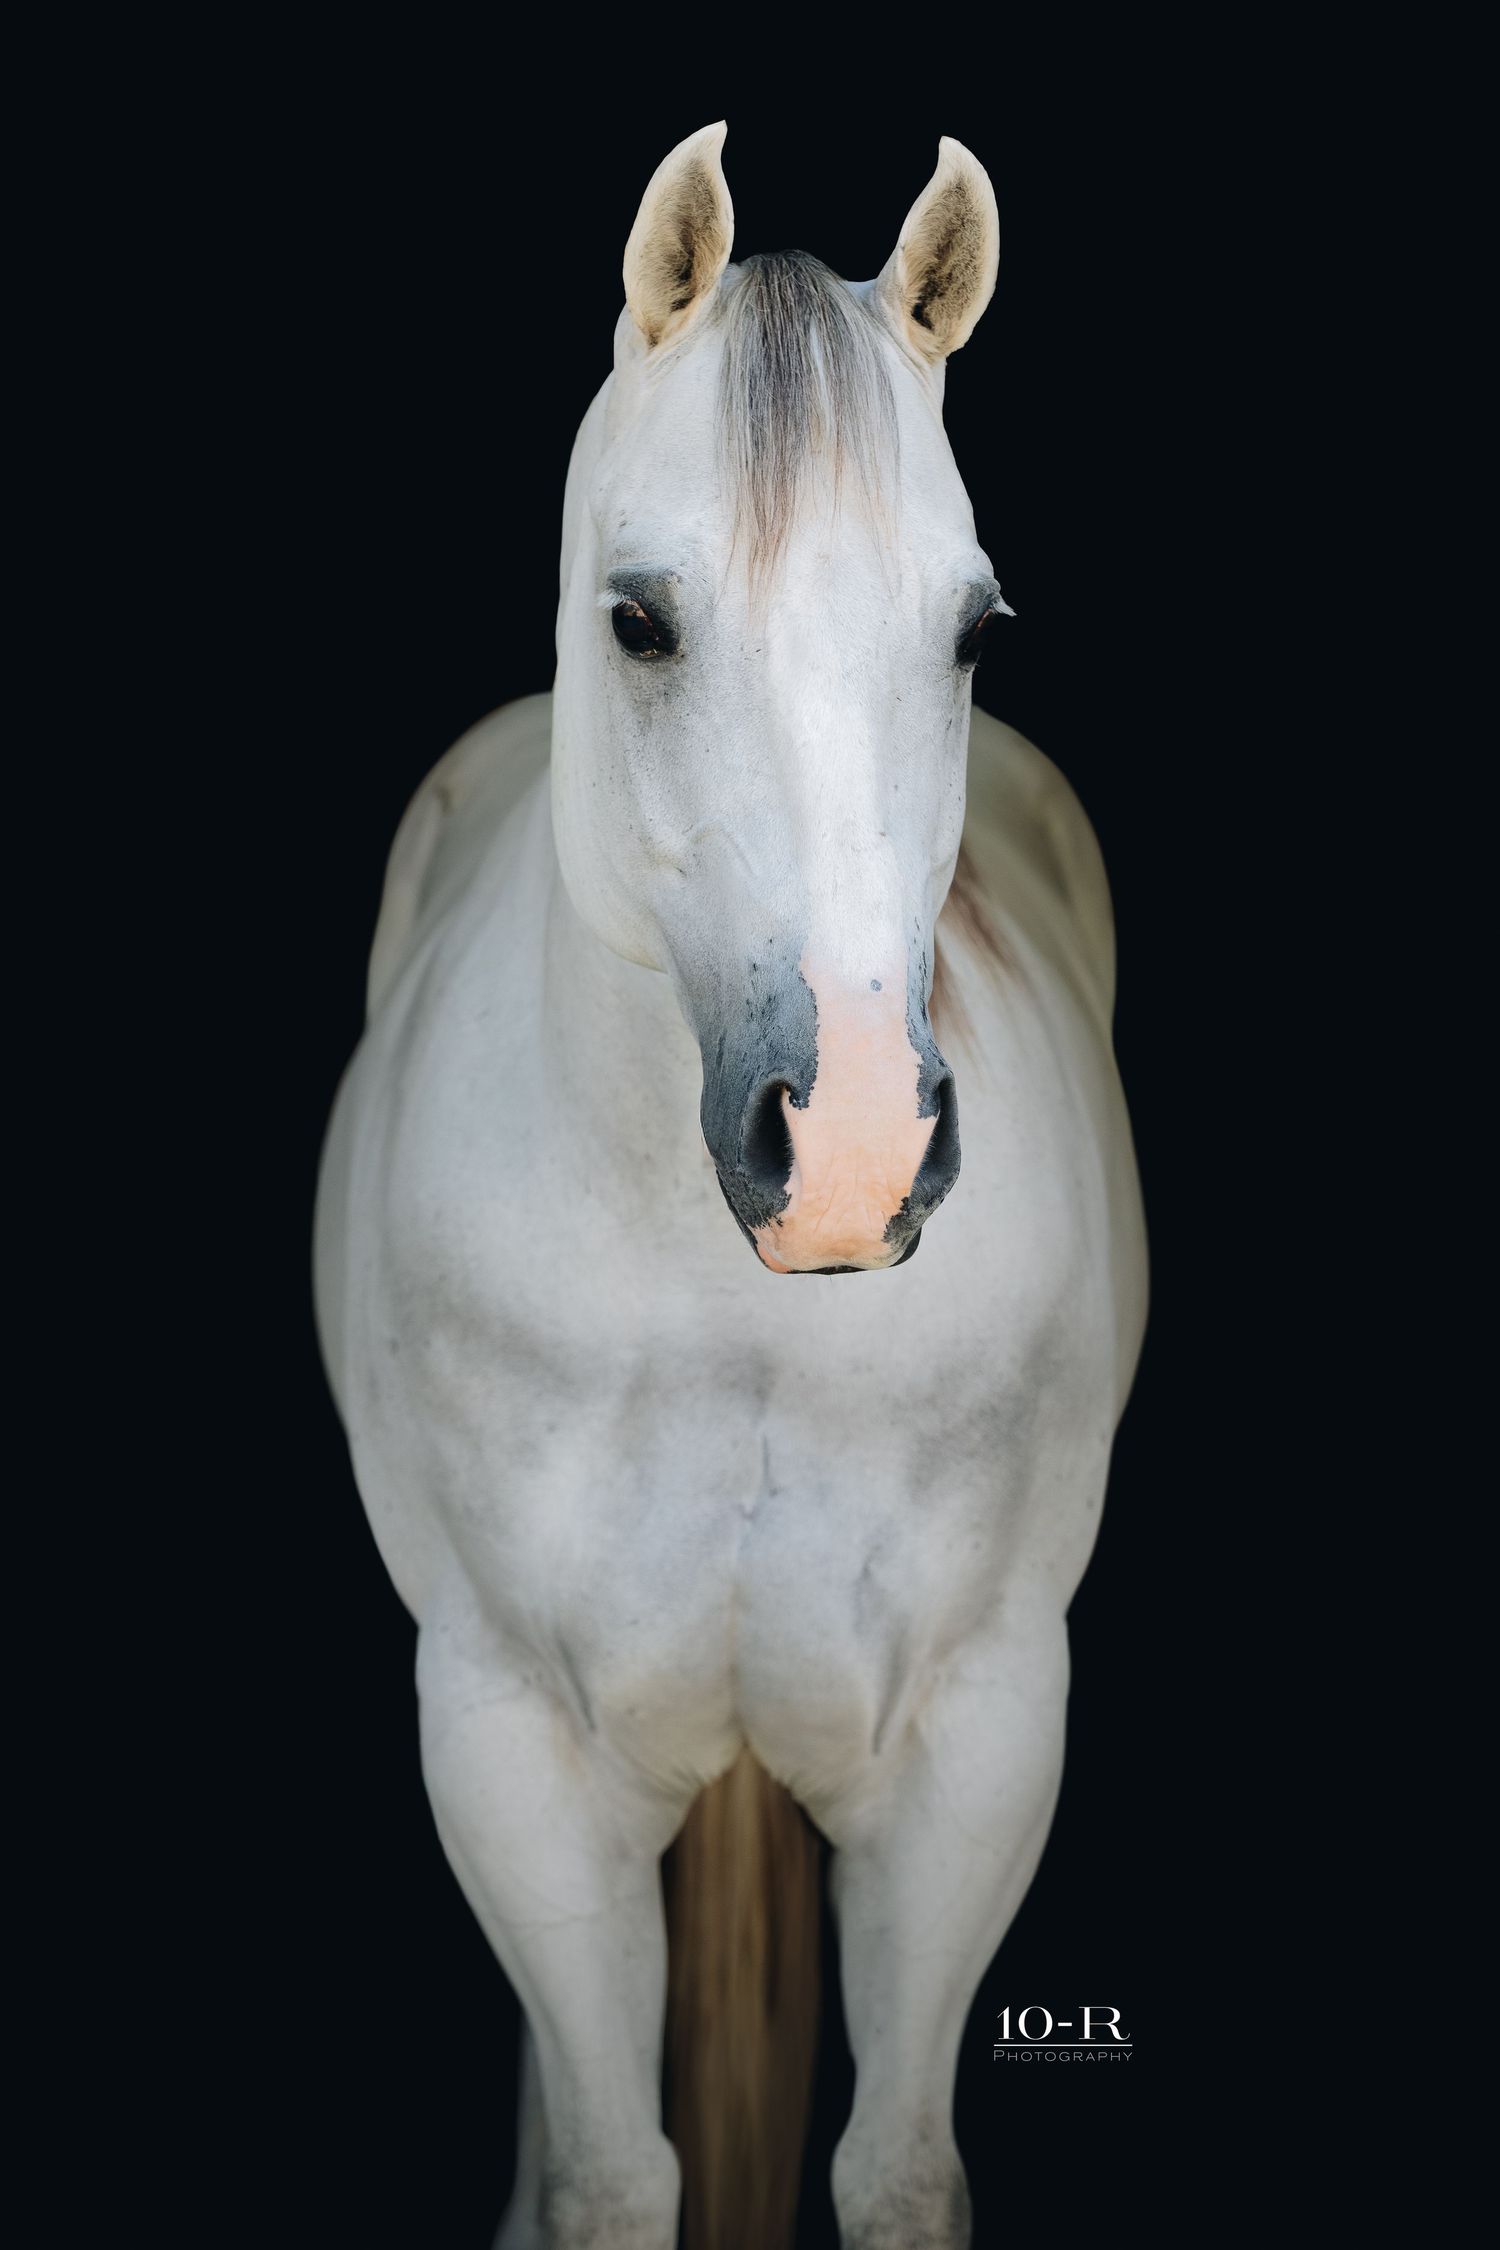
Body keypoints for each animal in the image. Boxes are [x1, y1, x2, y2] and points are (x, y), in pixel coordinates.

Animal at [314, 122, 1147, 2250]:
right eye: (640, 620)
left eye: (973, 630)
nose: (846, 1158)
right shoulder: (511, 1752)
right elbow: (617, 2175)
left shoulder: (980, 1745)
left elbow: (896, 2169)